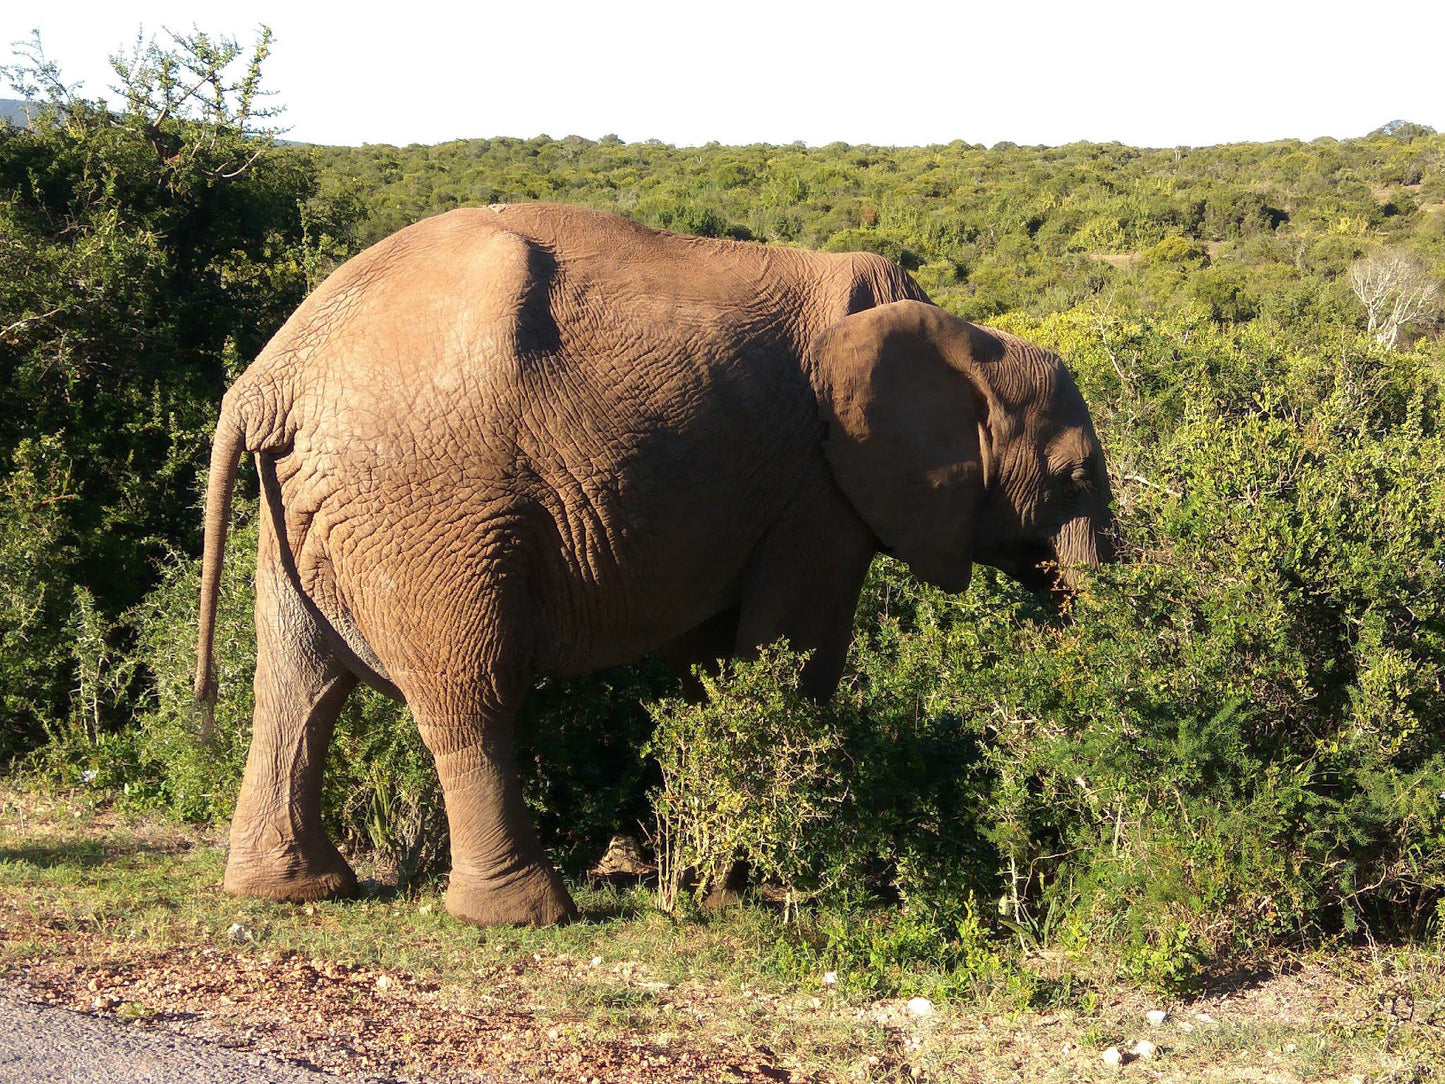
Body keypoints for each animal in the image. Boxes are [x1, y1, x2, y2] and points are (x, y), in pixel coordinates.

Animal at [192, 202, 1109, 925]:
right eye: (1073, 478)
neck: (965, 335)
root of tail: (270, 379)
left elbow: (713, 663)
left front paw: (712, 877)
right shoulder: (818, 492)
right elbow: (795, 658)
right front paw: (762, 889)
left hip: (303, 504)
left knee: (297, 685)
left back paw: (292, 892)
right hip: (429, 503)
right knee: (468, 695)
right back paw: (526, 915)